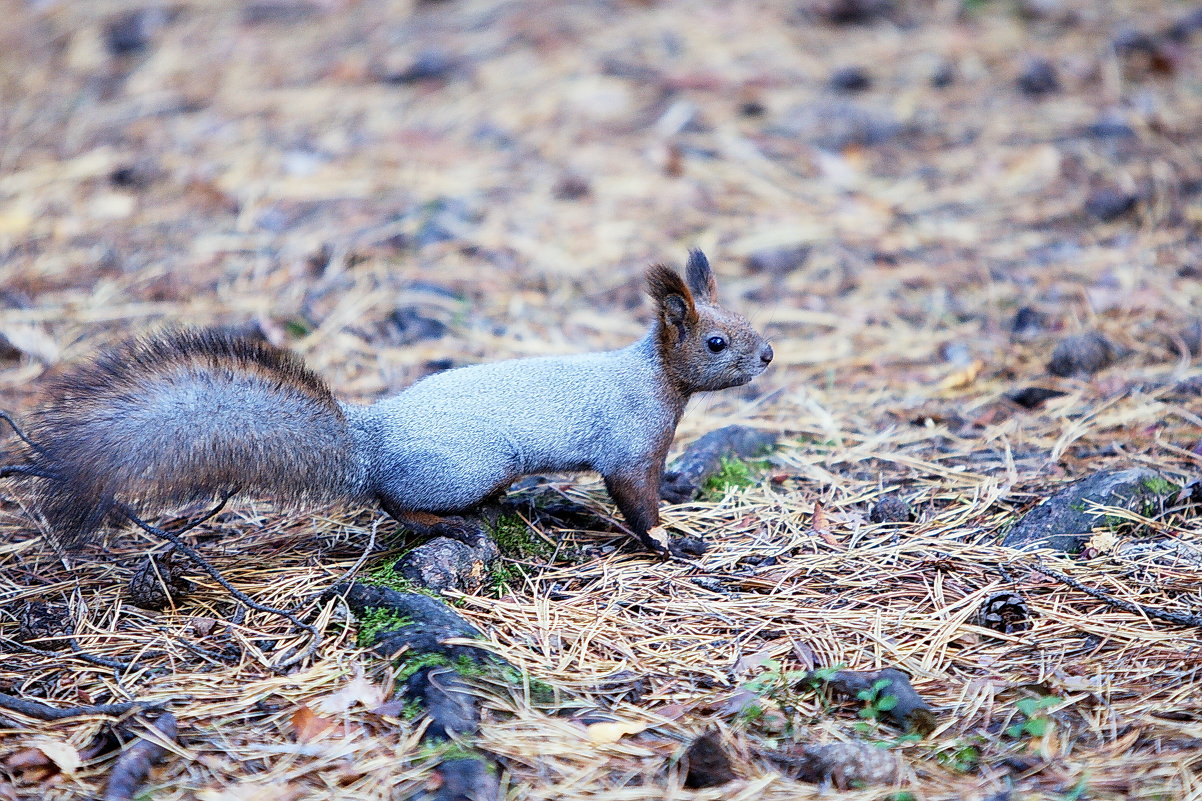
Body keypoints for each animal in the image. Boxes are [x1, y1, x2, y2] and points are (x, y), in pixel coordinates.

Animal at [2, 250, 769, 555]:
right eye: (717, 341)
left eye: (742, 321)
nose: (767, 355)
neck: (652, 375)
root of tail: (367, 442)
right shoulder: (629, 444)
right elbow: (636, 500)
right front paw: (673, 536)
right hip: (463, 467)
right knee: (396, 505)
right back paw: (457, 526)